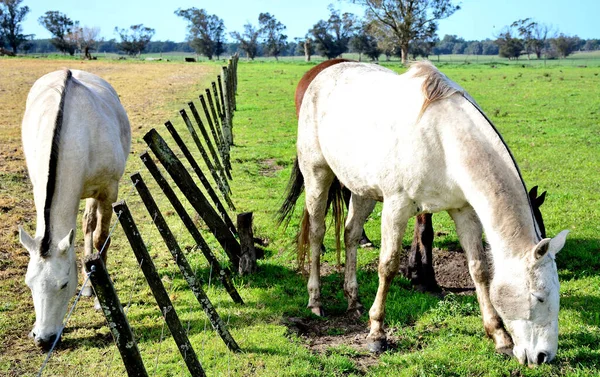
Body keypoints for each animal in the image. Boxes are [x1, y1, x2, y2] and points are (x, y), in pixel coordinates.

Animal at [19, 69, 130, 348]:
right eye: (29, 284)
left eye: (64, 284)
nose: (43, 339)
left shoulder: (107, 191)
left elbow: (102, 238)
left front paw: (100, 298)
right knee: (86, 223)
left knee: (92, 226)